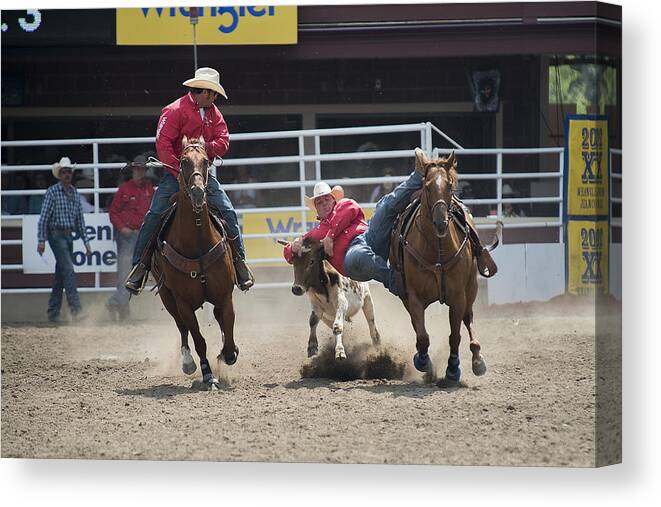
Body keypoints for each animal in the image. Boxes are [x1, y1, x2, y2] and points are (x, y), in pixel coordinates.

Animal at [151, 137, 238, 390]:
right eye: (183, 162)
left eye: (206, 161)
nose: (198, 192)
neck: (197, 242)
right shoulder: (183, 302)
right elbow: (198, 339)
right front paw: (208, 375)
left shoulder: (224, 295)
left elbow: (228, 326)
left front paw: (228, 353)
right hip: (167, 296)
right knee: (181, 327)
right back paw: (188, 362)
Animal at [386, 149, 500, 382]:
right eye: (428, 186)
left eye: (449, 185)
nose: (440, 223)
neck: (436, 249)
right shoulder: (413, 297)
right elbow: (422, 336)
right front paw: (422, 361)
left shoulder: (458, 297)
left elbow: (455, 335)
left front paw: (453, 367)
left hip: (471, 289)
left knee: (468, 319)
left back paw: (477, 358)